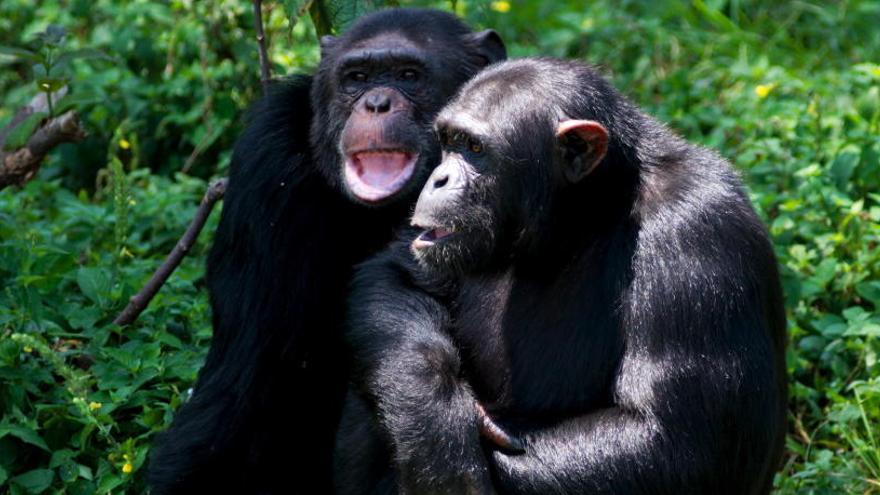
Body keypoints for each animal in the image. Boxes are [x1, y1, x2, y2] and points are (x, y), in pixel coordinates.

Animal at [334, 59, 788, 495]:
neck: (583, 215)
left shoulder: (697, 231)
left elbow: (675, 440)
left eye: (475, 148)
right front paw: (433, 422)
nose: (438, 178)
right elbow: (395, 275)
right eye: (448, 143)